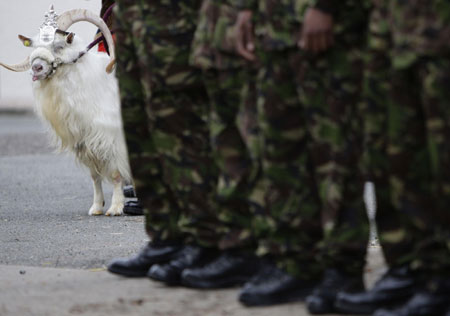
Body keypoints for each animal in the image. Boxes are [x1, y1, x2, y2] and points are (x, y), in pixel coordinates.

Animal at [0, 6, 130, 216]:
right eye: (33, 46)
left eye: (59, 46)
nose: (36, 67)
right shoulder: (84, 143)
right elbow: (94, 176)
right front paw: (96, 207)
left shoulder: (112, 139)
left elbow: (116, 173)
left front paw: (115, 208)